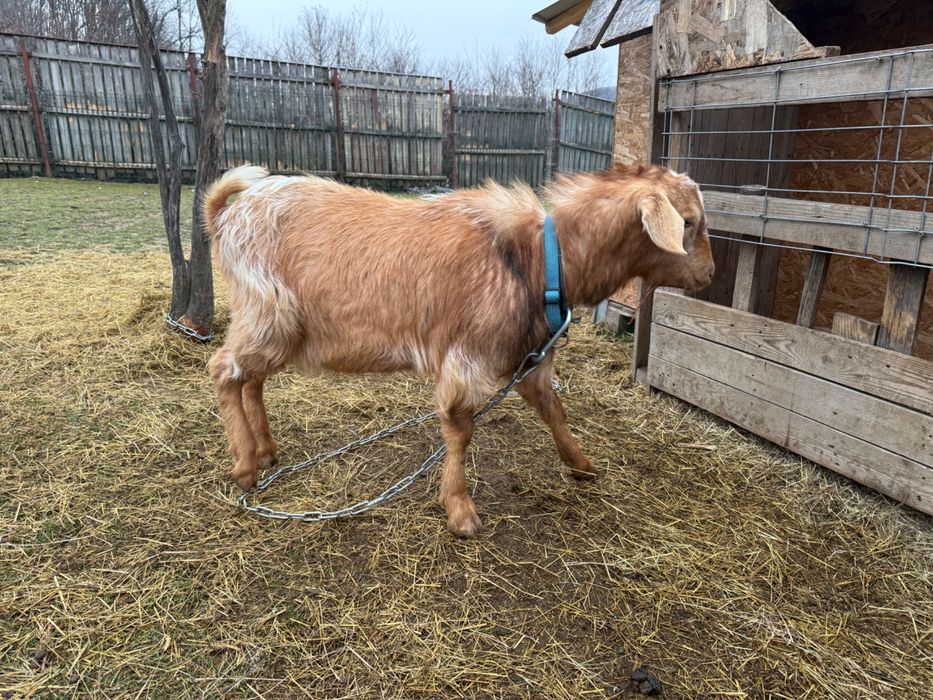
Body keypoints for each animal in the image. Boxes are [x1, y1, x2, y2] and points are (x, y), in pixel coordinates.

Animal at [203, 164, 714, 537]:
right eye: (687, 222)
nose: (709, 275)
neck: (538, 258)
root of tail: (226, 215)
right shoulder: (468, 357)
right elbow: (459, 428)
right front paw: (461, 511)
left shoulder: (528, 358)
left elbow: (553, 410)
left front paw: (582, 465)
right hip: (267, 312)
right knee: (223, 368)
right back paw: (245, 466)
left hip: (270, 326)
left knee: (252, 378)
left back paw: (266, 451)